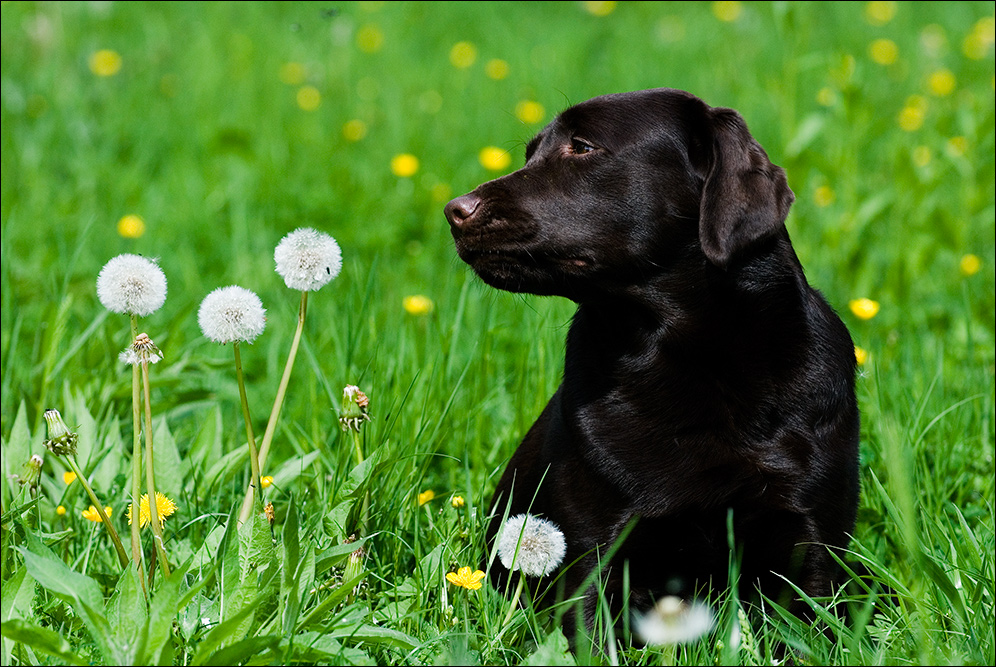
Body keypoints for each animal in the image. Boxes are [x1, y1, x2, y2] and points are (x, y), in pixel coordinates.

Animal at [448, 86, 860, 628]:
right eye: (530, 154)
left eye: (582, 146)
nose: (454, 210)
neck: (695, 360)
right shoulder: (593, 559)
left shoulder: (810, 552)